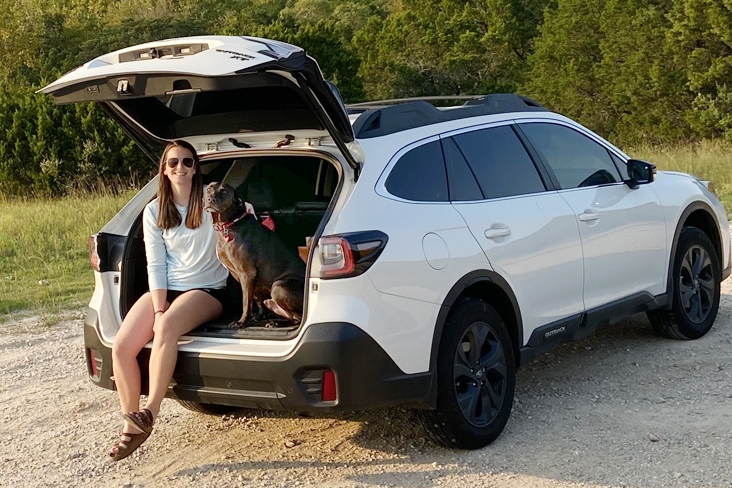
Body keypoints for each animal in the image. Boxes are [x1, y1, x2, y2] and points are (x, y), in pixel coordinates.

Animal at [203, 182, 306, 328]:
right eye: (209, 189)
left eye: (223, 192)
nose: (209, 200)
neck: (229, 225)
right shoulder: (251, 277)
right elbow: (255, 298)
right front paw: (259, 316)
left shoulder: (247, 273)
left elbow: (246, 302)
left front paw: (241, 322)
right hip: (271, 299)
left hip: (278, 287)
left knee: (299, 318)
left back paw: (275, 323)